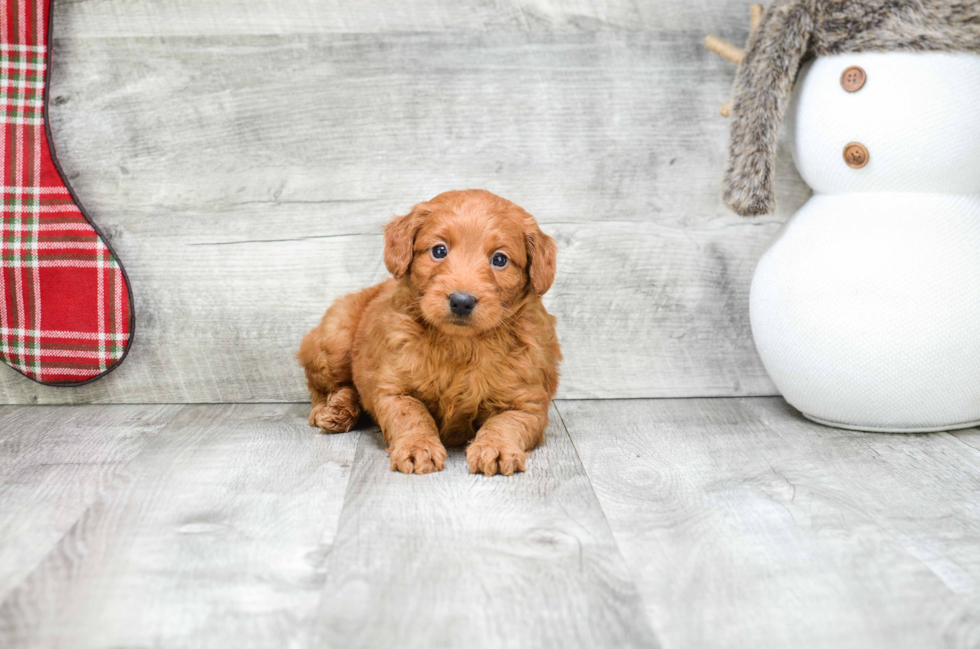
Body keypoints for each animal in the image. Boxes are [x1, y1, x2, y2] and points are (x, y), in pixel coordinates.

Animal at [296, 189, 560, 476]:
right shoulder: (394, 389)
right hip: (334, 343)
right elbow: (412, 415)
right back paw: (333, 410)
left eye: (500, 259)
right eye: (439, 250)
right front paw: (417, 447)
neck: (461, 345)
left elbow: (506, 423)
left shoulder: (528, 403)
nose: (461, 301)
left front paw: (497, 448)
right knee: (323, 385)